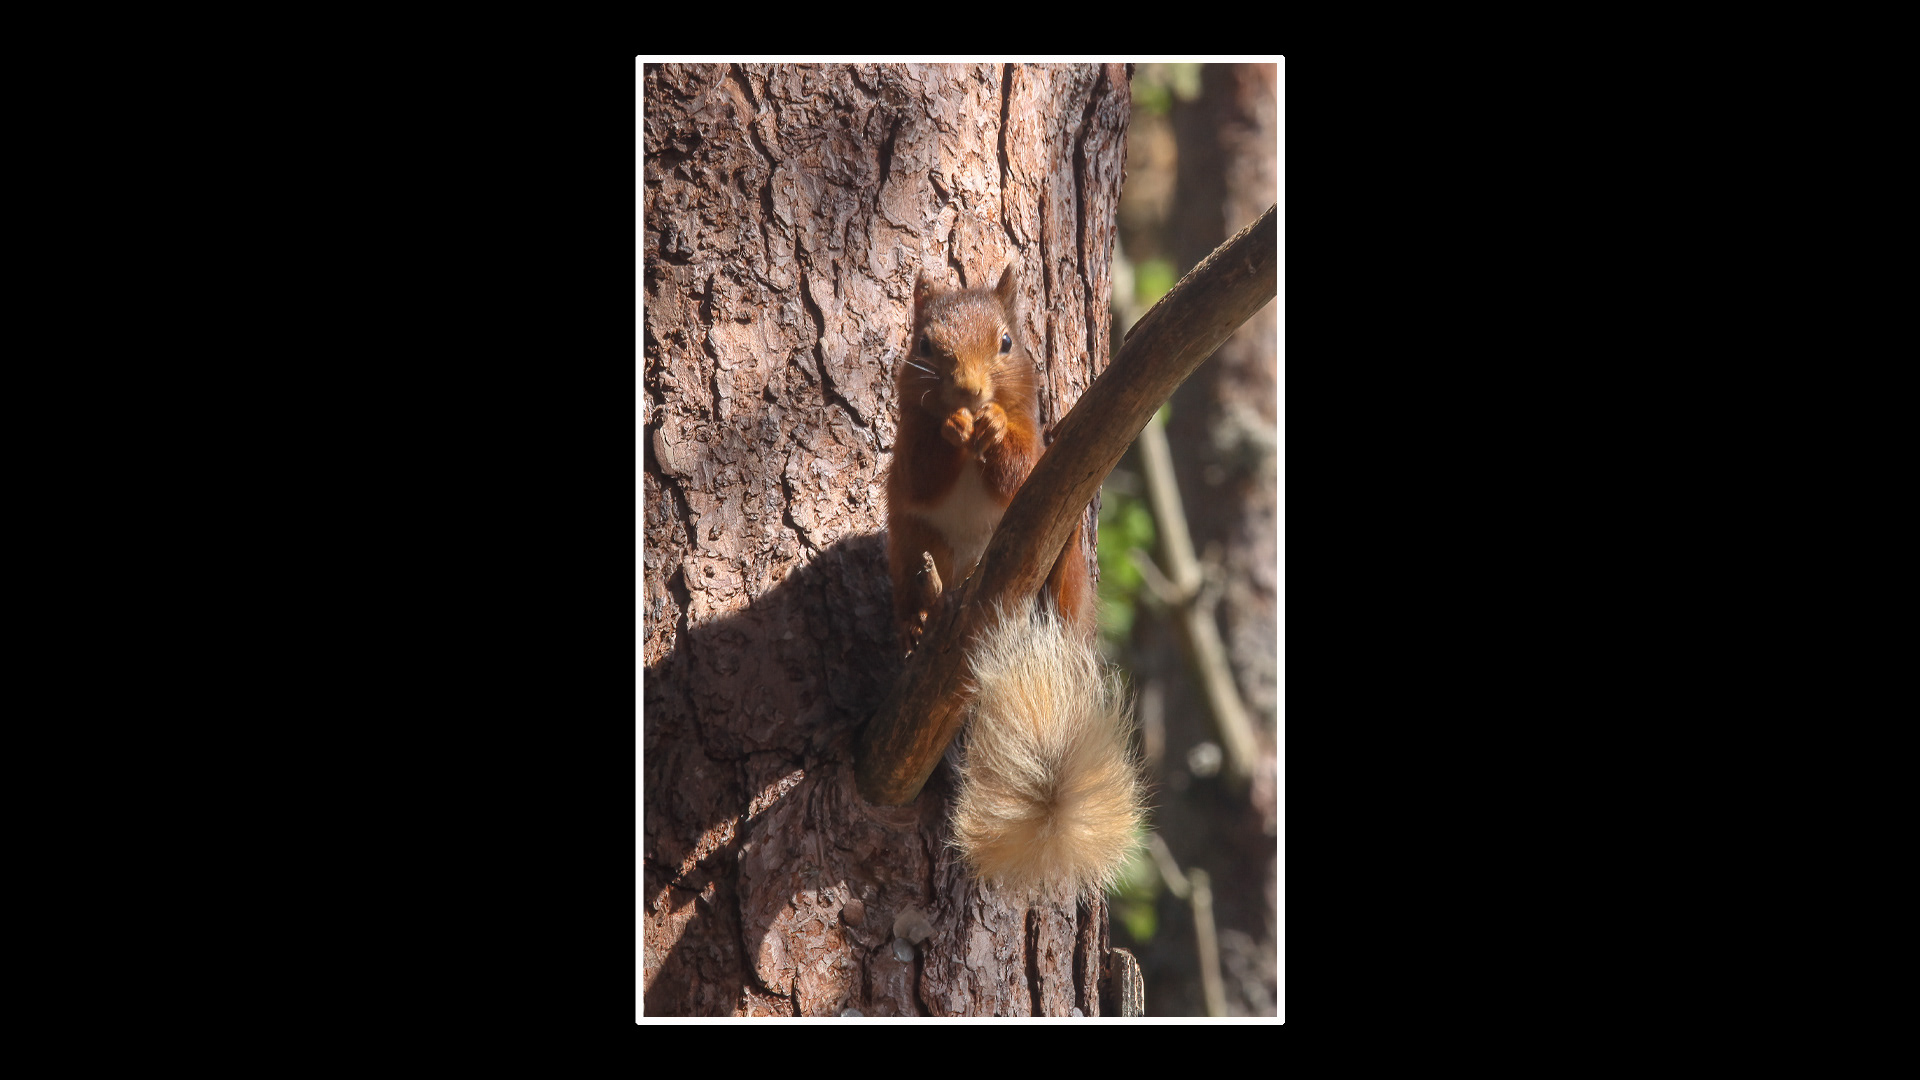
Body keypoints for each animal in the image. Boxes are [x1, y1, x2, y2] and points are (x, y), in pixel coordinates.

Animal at [885, 262, 1145, 901]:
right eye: (924, 345)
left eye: (1006, 342)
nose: (970, 392)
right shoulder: (909, 455)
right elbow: (923, 470)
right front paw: (953, 425)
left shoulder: (1041, 452)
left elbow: (1021, 467)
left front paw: (993, 424)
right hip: (914, 547)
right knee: (915, 582)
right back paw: (916, 622)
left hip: (1061, 554)